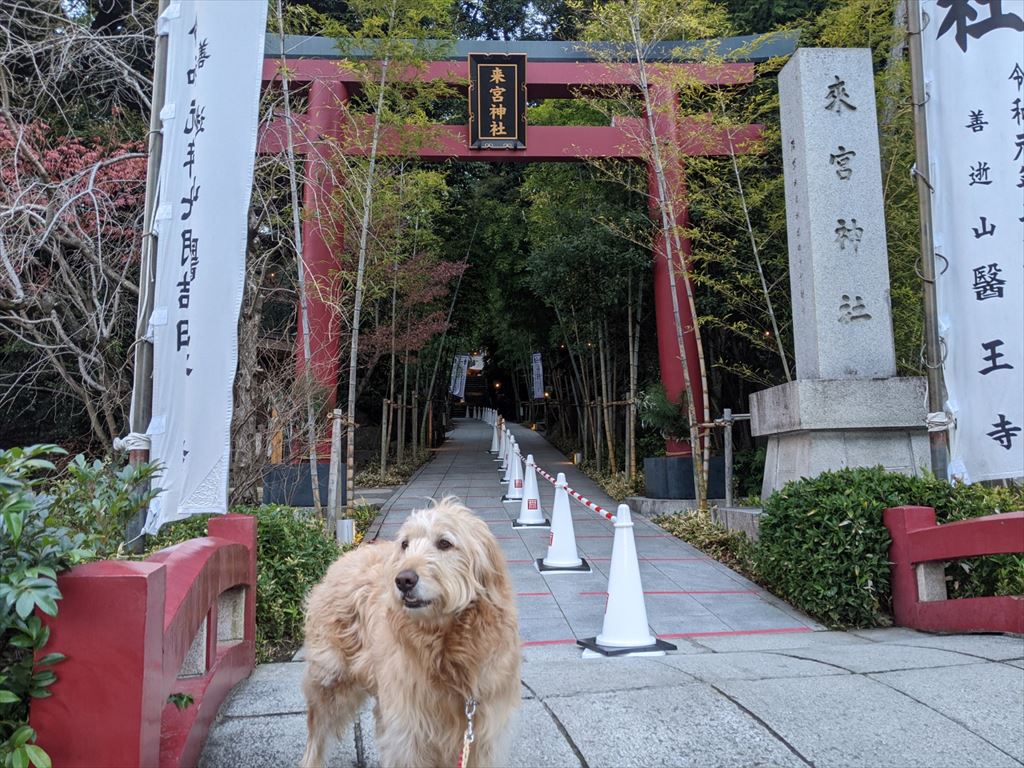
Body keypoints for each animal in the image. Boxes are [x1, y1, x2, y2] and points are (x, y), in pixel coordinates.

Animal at [296, 495, 520, 765]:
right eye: (405, 544)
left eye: (444, 543)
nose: (403, 580)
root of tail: (345, 556)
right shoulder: (409, 734)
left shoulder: (481, 735)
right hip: (330, 683)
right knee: (316, 736)